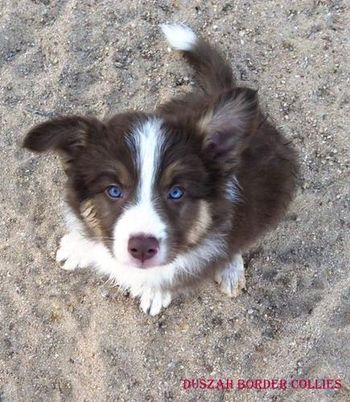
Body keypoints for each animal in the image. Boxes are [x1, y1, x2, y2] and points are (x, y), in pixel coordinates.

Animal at [23, 23, 296, 316]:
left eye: (176, 192)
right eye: (113, 190)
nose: (142, 248)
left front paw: (155, 291)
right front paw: (79, 247)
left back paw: (230, 269)